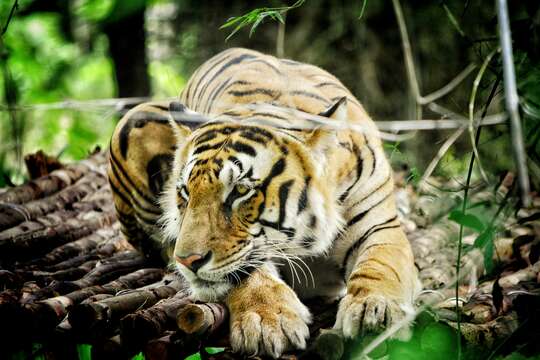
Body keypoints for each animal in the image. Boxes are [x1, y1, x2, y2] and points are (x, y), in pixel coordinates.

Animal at [107, 47, 420, 358]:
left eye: (240, 190)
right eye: (185, 191)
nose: (188, 260)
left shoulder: (380, 227)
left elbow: (381, 264)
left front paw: (375, 311)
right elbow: (248, 273)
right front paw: (265, 321)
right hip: (136, 118)